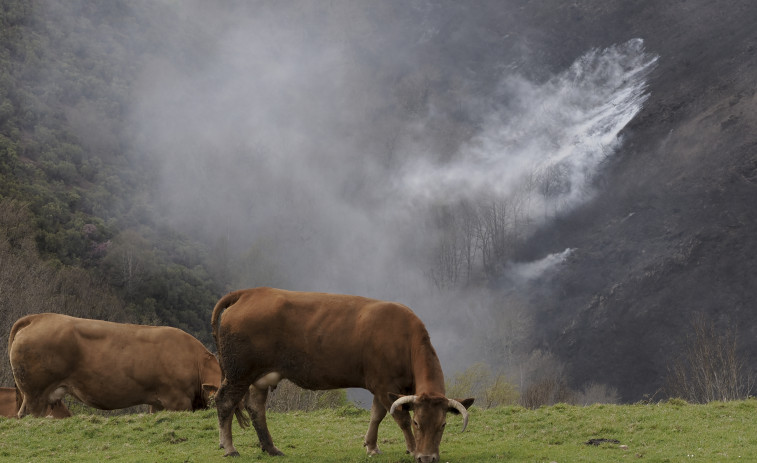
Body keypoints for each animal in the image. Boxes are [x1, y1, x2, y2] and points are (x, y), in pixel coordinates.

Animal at [213, 288, 472, 462]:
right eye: (419, 422)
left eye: (443, 424)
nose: (428, 458)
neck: (404, 339)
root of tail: (250, 292)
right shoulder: (385, 384)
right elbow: (400, 418)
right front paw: (412, 448)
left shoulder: (381, 387)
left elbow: (376, 415)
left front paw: (371, 446)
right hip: (238, 373)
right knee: (225, 402)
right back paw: (230, 448)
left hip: (260, 377)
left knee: (256, 408)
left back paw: (271, 448)